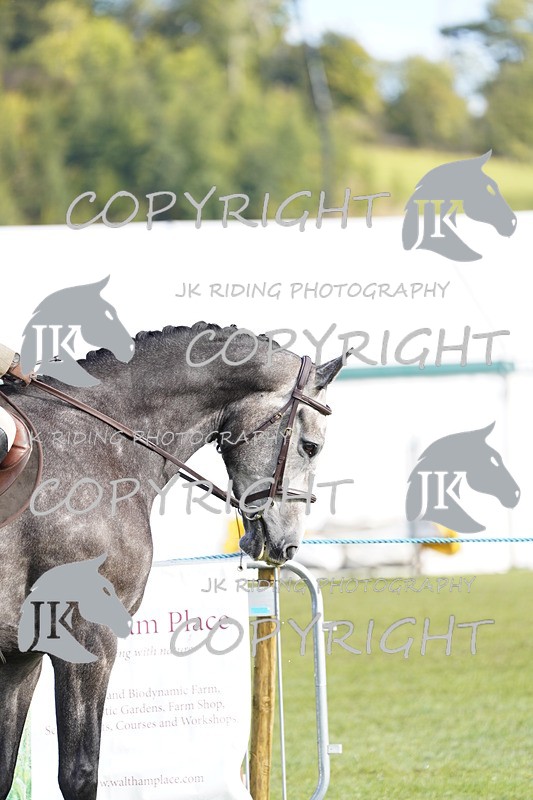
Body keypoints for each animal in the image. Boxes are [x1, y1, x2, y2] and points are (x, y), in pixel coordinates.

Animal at [0, 322, 344, 800]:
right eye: (311, 447)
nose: (289, 545)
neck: (100, 444)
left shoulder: (22, 655)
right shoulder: (88, 638)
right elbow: (79, 772)